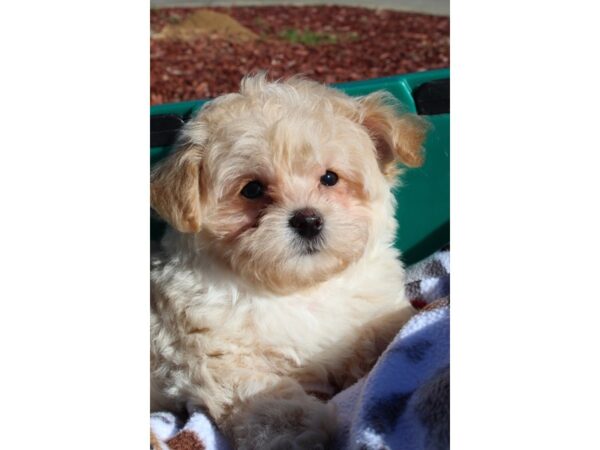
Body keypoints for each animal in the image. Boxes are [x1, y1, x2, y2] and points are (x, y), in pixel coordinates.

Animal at [152, 75, 428, 448]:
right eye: (252, 190)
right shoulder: (220, 357)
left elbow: (379, 343)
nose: (308, 220)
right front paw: (296, 433)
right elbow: (264, 396)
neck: (301, 288)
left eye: (330, 178)